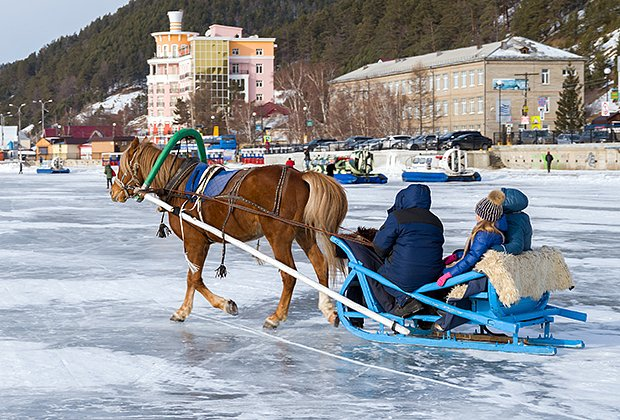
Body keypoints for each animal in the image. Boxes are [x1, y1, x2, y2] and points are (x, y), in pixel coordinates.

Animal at [110, 139, 348, 330]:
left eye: (122, 166)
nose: (113, 191)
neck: (178, 184)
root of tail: (300, 175)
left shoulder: (195, 240)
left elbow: (194, 278)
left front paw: (214, 306)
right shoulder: (200, 242)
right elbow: (193, 279)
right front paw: (192, 309)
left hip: (278, 237)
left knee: (289, 275)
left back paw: (276, 316)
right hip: (303, 232)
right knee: (320, 264)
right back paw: (328, 309)